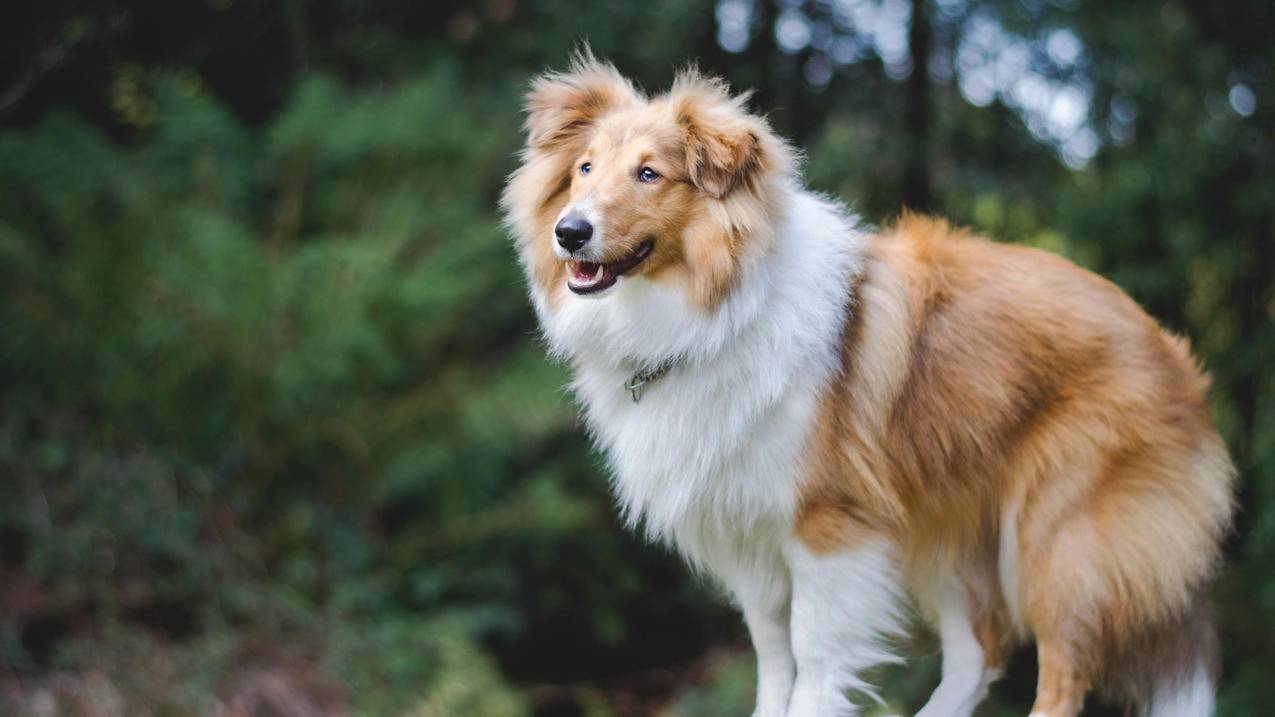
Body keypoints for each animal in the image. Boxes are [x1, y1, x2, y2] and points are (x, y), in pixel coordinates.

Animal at [499, 54, 1234, 714]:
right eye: (584, 169)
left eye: (649, 173)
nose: (570, 232)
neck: (716, 315)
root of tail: (1173, 354)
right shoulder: (751, 540)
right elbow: (773, 662)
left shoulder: (827, 530)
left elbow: (814, 664)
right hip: (944, 525)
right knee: (977, 653)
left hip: (1059, 543)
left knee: (1059, 672)